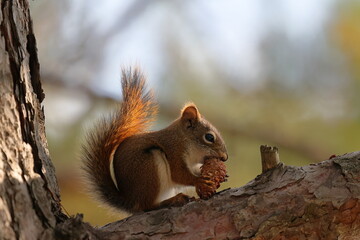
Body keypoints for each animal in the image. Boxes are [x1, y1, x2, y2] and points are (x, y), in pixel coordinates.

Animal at [82, 67, 228, 212]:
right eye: (209, 137)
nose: (225, 157)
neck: (185, 141)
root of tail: (131, 202)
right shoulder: (174, 151)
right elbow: (178, 174)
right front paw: (199, 181)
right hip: (149, 166)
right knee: (147, 206)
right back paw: (172, 200)